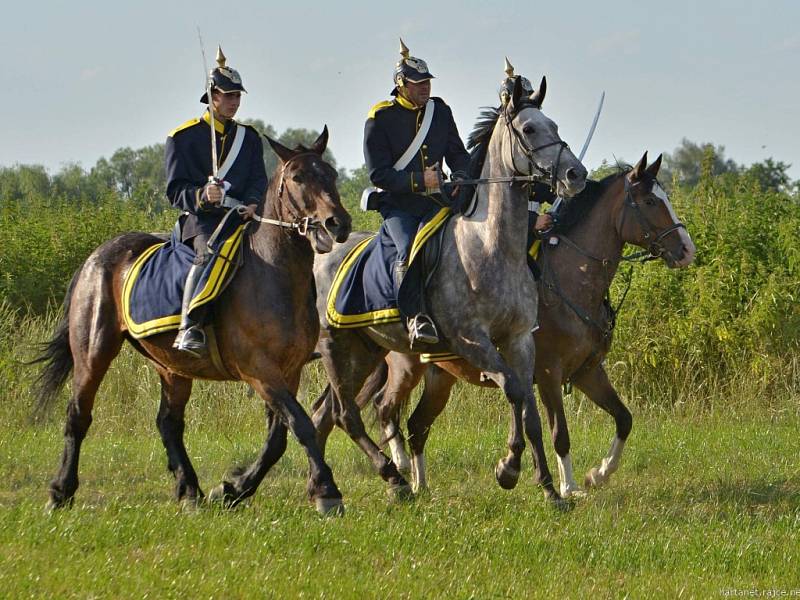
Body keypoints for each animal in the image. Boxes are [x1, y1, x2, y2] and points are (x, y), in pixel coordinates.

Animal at [31, 129, 352, 512]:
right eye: (298, 177)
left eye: (331, 173)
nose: (338, 224)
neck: (275, 274)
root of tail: (96, 257)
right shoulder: (259, 371)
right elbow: (300, 424)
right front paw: (327, 491)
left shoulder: (289, 371)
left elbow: (278, 437)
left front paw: (232, 488)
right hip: (94, 353)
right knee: (78, 413)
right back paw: (60, 491)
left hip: (172, 366)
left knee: (168, 422)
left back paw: (190, 490)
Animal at [318, 152, 692, 494]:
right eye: (649, 201)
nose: (686, 249)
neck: (569, 280)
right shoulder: (549, 375)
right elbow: (560, 433)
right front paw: (568, 486)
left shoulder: (587, 372)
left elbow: (624, 419)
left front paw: (597, 474)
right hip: (406, 367)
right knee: (385, 409)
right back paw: (399, 471)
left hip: (440, 377)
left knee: (414, 424)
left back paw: (416, 484)